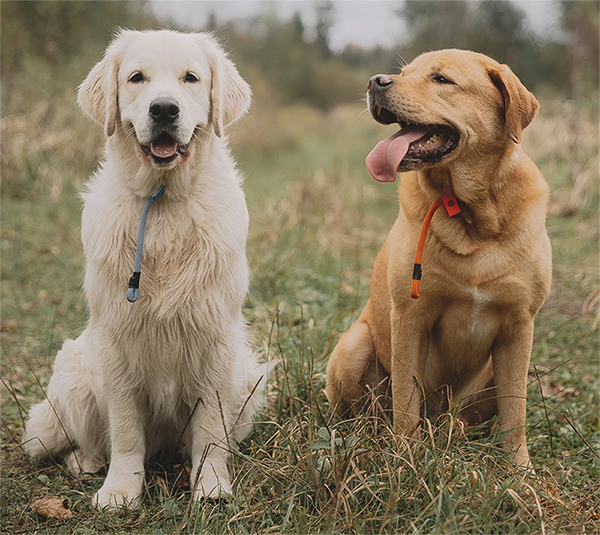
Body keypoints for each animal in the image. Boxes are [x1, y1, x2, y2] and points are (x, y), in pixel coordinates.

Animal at [24, 29, 268, 510]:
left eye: (191, 78)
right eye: (137, 78)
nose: (164, 109)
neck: (164, 204)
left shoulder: (216, 339)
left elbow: (210, 430)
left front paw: (211, 486)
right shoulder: (116, 341)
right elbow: (124, 432)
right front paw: (120, 490)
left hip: (247, 374)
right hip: (71, 379)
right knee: (73, 441)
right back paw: (85, 462)